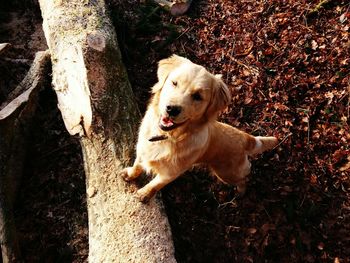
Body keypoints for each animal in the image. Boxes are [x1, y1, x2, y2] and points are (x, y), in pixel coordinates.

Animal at [121, 55, 278, 204]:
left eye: (197, 96)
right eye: (174, 83)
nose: (172, 109)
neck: (168, 136)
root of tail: (245, 137)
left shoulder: (170, 173)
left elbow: (155, 184)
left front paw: (144, 194)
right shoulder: (142, 150)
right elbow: (137, 165)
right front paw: (130, 174)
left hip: (227, 173)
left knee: (244, 179)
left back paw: (240, 193)